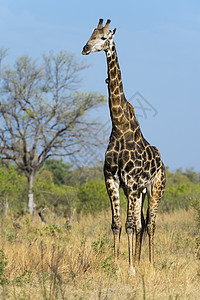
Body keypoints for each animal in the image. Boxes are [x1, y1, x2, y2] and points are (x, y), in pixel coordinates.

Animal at [82, 18, 166, 274]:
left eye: (104, 38)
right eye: (90, 35)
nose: (85, 49)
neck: (119, 127)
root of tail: (162, 161)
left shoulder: (131, 182)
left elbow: (129, 225)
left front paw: (130, 268)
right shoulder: (112, 180)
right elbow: (116, 224)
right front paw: (119, 266)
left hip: (155, 188)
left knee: (150, 224)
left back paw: (149, 264)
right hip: (138, 192)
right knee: (141, 223)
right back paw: (138, 260)